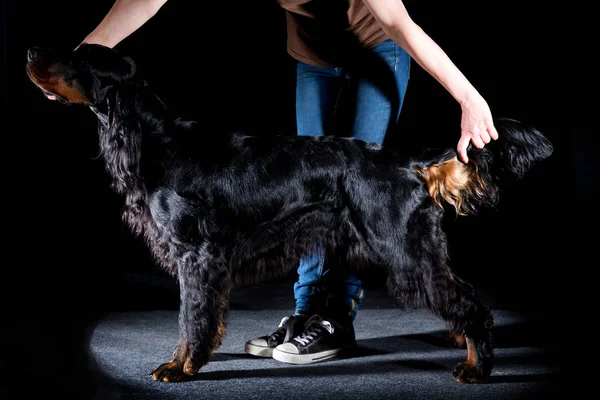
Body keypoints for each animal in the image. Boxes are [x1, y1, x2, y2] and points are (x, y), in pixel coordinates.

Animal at [27, 43, 552, 384]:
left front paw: (180, 366)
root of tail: (407, 163)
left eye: (79, 58)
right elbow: (203, 316)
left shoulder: (197, 256)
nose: (31, 52)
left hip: (406, 250)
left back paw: (477, 367)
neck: (155, 139)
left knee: (471, 305)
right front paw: (196, 357)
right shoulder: (205, 261)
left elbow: (189, 316)